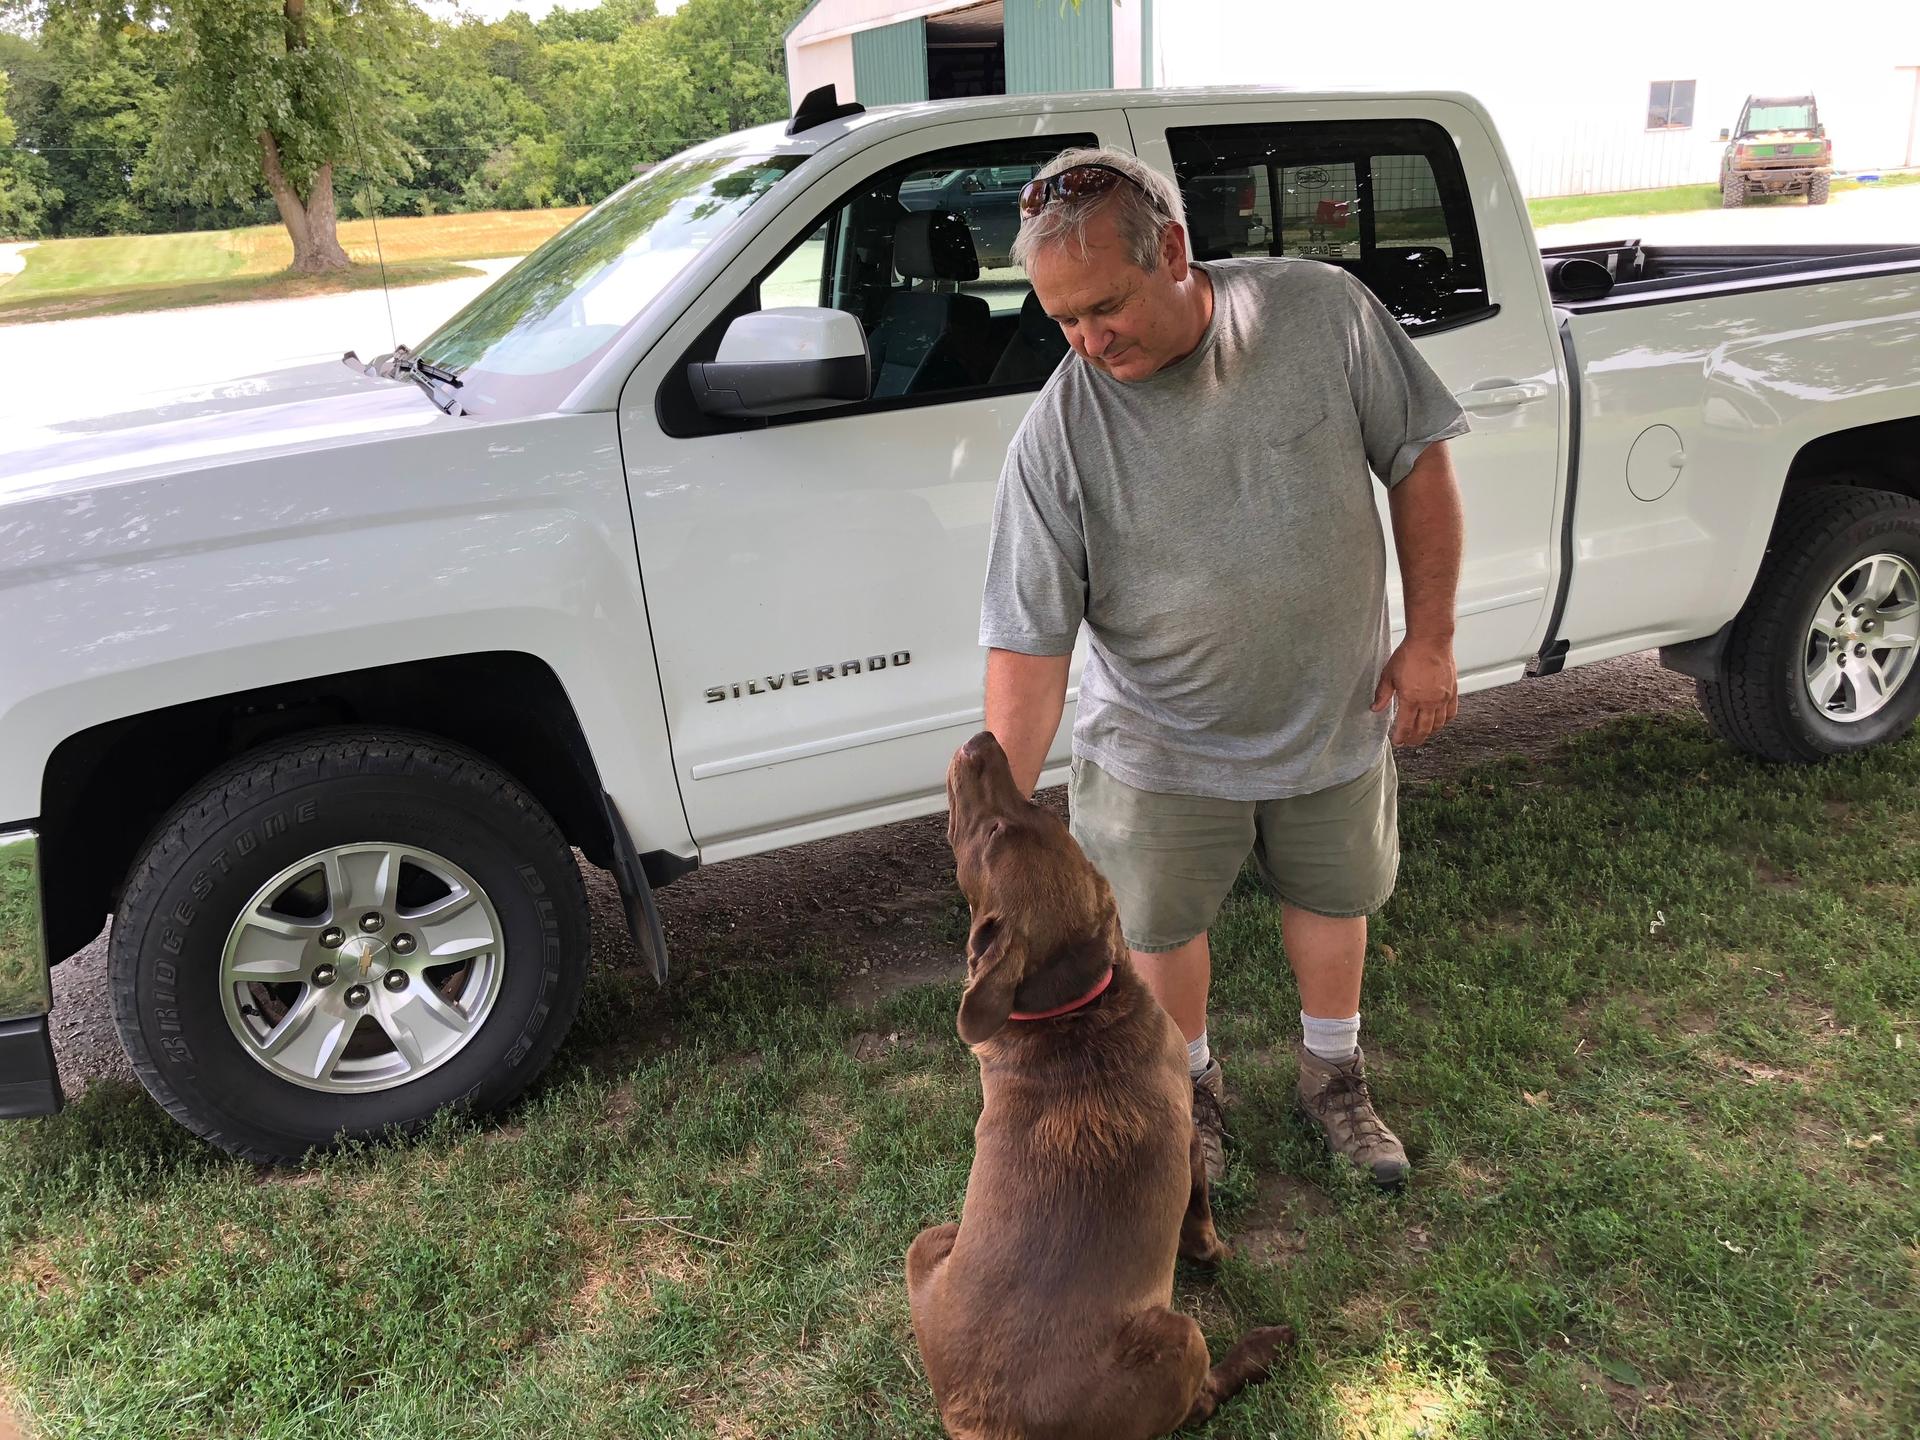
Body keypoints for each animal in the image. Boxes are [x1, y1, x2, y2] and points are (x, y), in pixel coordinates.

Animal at [910, 737, 1297, 1436]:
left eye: (1033, 812)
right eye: (997, 828)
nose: (981, 742)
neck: (1072, 1013)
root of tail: (985, 1421)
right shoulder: (1188, 1143)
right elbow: (1201, 1219)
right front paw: (1216, 1253)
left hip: (931, 1237)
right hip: (1179, 1336)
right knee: (1201, 1398)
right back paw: (1263, 1347)